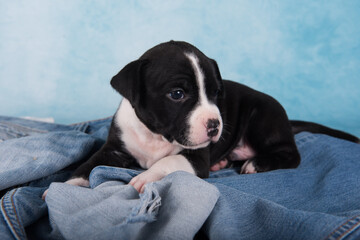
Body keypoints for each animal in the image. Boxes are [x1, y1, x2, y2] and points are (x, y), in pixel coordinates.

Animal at [41, 40, 358, 199]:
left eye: (217, 93)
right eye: (177, 94)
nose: (215, 125)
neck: (156, 135)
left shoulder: (194, 157)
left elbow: (169, 161)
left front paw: (146, 177)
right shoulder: (115, 149)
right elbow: (90, 163)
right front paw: (67, 186)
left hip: (263, 117)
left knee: (291, 154)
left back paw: (257, 163)